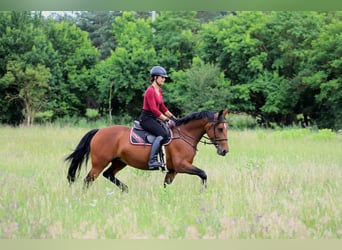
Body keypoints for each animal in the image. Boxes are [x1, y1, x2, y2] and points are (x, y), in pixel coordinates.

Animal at [65, 107, 230, 191]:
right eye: (220, 128)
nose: (225, 151)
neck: (184, 135)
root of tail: (99, 131)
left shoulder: (173, 170)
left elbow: (166, 185)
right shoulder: (181, 166)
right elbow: (203, 174)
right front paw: (203, 192)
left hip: (119, 161)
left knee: (108, 174)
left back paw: (126, 189)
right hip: (100, 163)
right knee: (88, 180)